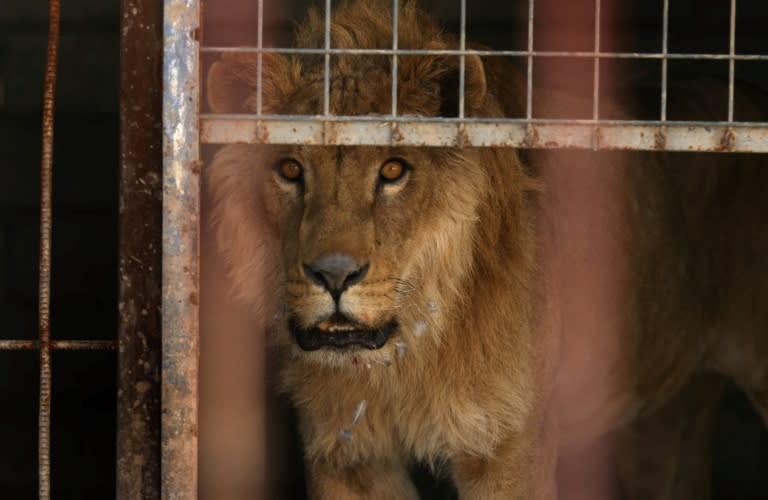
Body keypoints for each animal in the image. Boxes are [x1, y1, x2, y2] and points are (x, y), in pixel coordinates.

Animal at [204, 1, 768, 498]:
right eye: (289, 169)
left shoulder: (509, 447)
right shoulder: (345, 454)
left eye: (393, 170)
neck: (405, 358)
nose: (334, 275)